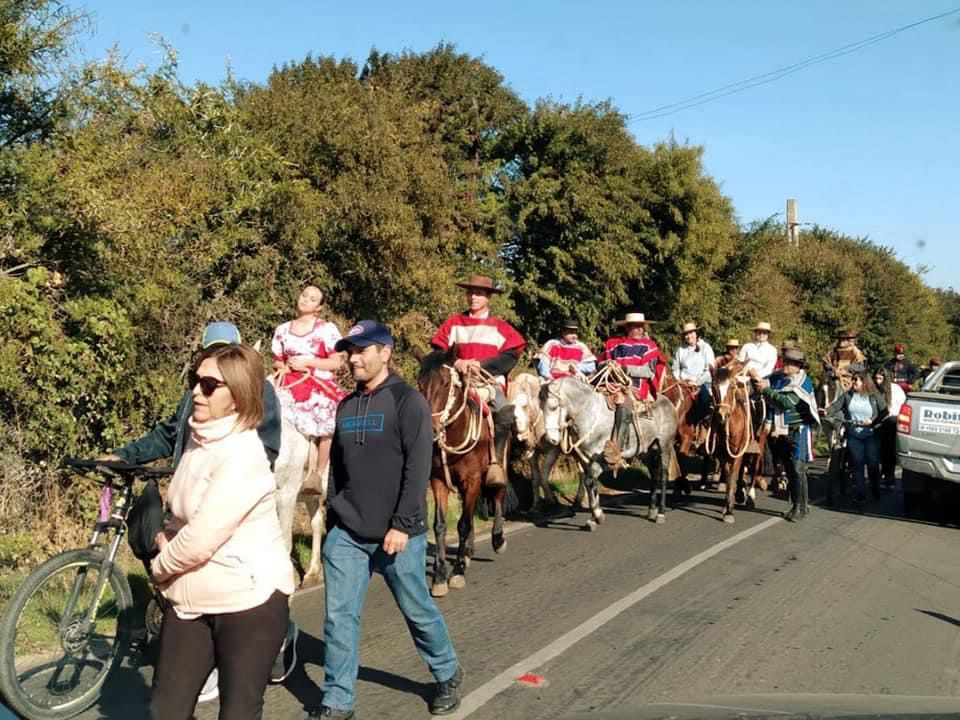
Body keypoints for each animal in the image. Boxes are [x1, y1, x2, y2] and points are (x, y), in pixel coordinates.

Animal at [418, 344, 512, 596]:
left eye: (445, 384)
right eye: (420, 384)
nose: (430, 429)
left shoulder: (472, 480)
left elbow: (463, 524)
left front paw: (457, 571)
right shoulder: (438, 481)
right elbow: (440, 526)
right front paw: (440, 576)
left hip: (496, 470)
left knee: (497, 495)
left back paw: (497, 540)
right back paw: (468, 551)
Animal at [540, 376, 684, 528]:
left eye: (553, 407)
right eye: (541, 408)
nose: (551, 439)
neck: (590, 415)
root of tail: (669, 403)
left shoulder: (599, 460)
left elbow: (589, 482)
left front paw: (597, 515)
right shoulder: (585, 460)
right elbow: (589, 484)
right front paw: (595, 516)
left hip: (665, 446)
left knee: (663, 476)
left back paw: (661, 513)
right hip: (648, 451)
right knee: (654, 475)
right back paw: (651, 510)